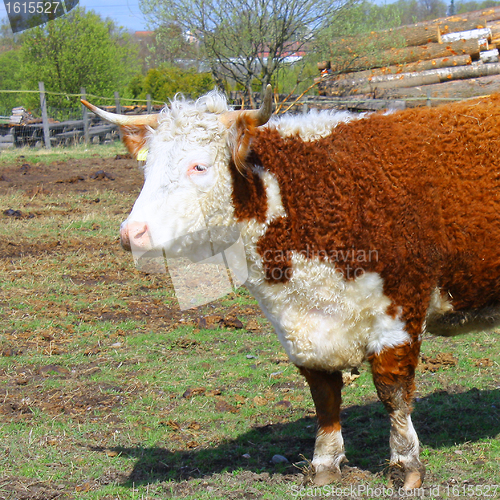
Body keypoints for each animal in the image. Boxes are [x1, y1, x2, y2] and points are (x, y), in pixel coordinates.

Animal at [81, 88, 500, 490]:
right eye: (148, 166)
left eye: (199, 165)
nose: (131, 233)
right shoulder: (300, 326)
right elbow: (324, 395)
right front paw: (324, 464)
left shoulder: (400, 309)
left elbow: (392, 391)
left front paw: (406, 464)